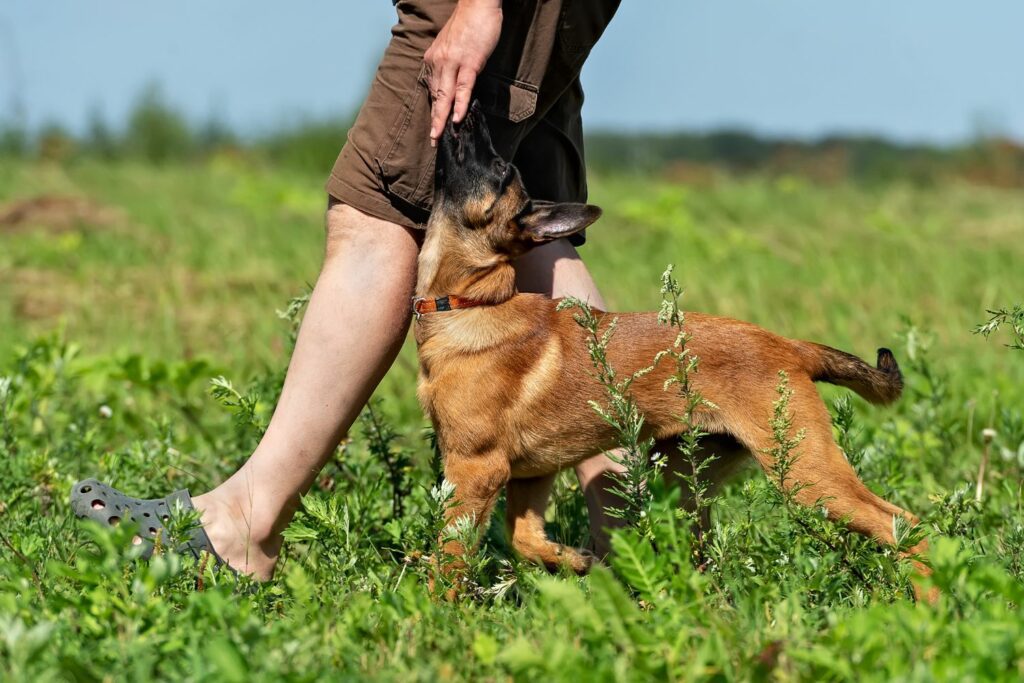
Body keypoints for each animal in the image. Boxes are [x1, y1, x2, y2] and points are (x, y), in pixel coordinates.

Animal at [411, 102, 933, 598]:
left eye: (501, 170)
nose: (468, 110)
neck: (471, 301)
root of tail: (788, 346)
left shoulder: (476, 469)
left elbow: (449, 557)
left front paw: (438, 616)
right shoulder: (530, 473)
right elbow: (523, 538)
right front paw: (573, 561)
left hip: (806, 473)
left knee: (904, 525)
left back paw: (931, 598)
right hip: (687, 483)